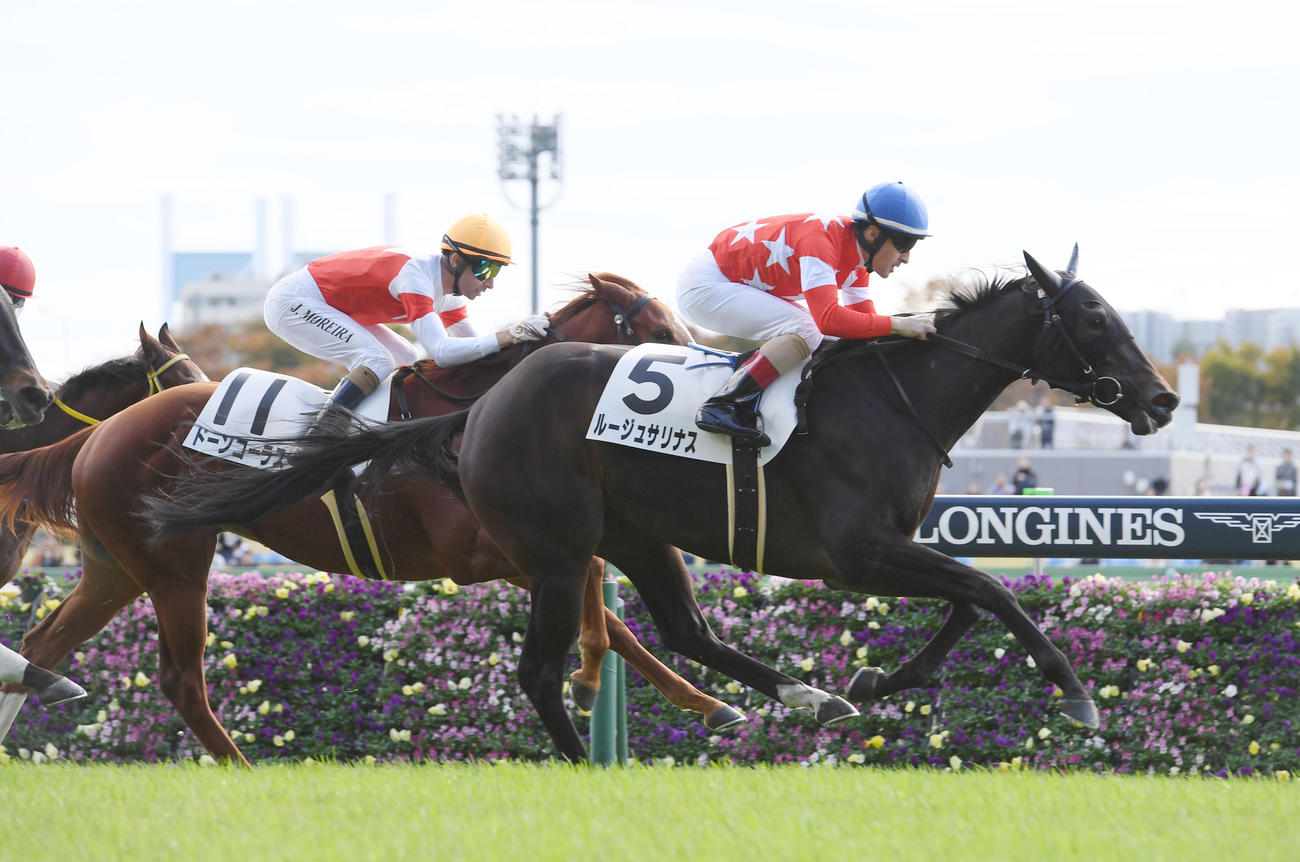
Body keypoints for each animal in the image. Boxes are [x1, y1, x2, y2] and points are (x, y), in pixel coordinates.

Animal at [140, 249, 1179, 762]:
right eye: (1094, 320)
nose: (1165, 399)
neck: (896, 398)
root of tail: (482, 409)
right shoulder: (856, 551)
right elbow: (992, 593)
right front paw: (1077, 693)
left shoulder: (889, 546)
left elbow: (969, 599)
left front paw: (885, 680)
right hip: (560, 552)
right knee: (543, 669)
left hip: (636, 539)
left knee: (682, 631)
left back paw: (806, 696)